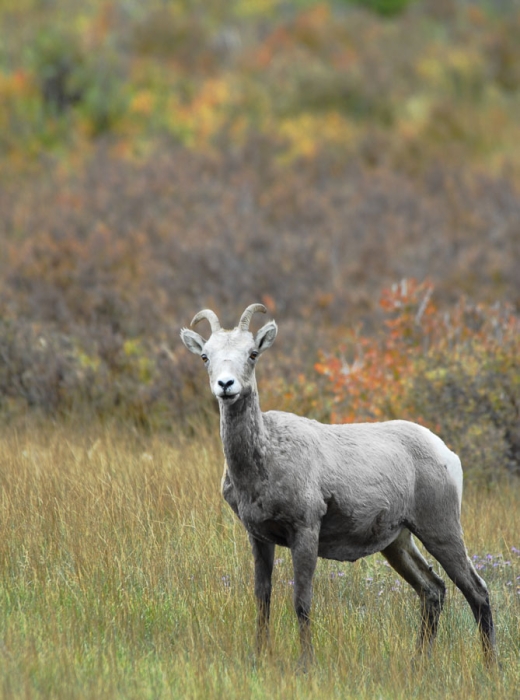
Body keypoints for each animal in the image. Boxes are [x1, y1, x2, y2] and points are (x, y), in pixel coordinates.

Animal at [181, 304, 498, 668]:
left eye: (253, 354)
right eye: (205, 356)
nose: (226, 385)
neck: (263, 460)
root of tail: (448, 454)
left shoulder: (305, 532)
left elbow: (302, 602)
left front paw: (306, 664)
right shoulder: (259, 537)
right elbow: (263, 599)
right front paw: (259, 657)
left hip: (440, 529)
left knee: (476, 591)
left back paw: (490, 666)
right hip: (398, 542)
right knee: (433, 590)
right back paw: (419, 662)